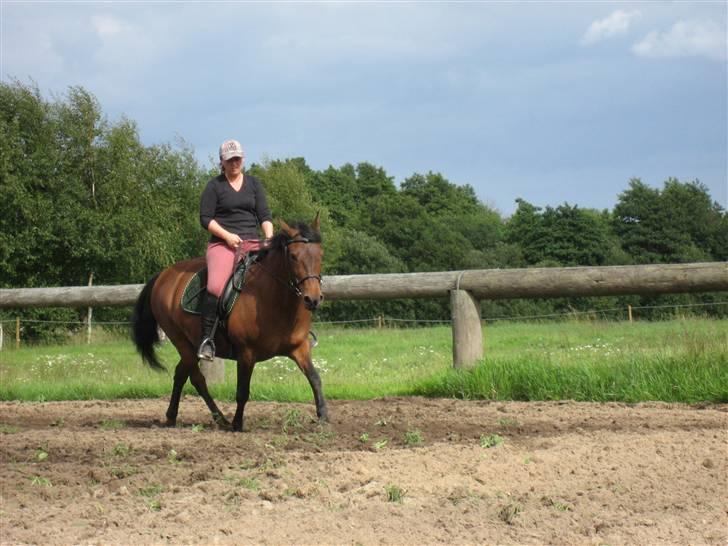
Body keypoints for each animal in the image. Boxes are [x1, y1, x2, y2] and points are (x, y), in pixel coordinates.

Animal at [130, 215, 324, 432]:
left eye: (320, 255)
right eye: (293, 256)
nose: (312, 299)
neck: (276, 300)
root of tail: (163, 276)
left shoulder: (299, 348)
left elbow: (315, 379)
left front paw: (324, 417)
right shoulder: (246, 353)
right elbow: (242, 391)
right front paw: (238, 424)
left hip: (190, 344)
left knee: (181, 373)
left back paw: (174, 417)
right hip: (180, 340)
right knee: (197, 378)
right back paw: (220, 419)